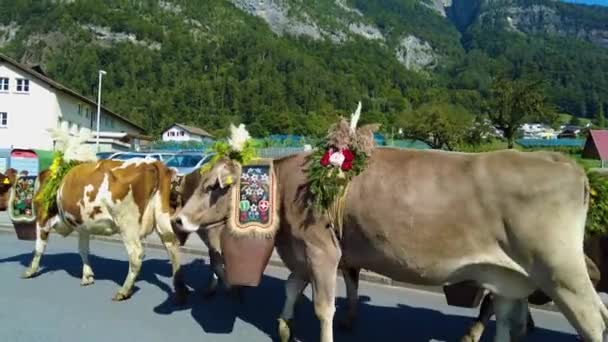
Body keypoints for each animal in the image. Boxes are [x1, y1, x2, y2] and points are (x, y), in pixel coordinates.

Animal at [24, 159, 188, 304]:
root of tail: (152, 163)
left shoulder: (42, 219)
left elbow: (39, 247)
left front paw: (30, 271)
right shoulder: (83, 226)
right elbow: (83, 250)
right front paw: (87, 276)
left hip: (127, 223)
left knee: (136, 254)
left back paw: (124, 291)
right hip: (161, 216)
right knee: (172, 246)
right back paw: (180, 291)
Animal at [175, 147, 608, 342]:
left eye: (214, 187)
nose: (178, 219)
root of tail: (564, 162)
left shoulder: (322, 249)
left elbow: (323, 305)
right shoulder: (302, 249)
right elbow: (292, 287)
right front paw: (283, 325)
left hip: (563, 272)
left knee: (593, 320)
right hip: (510, 277)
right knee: (505, 319)